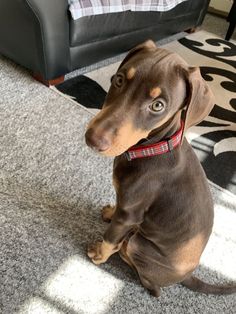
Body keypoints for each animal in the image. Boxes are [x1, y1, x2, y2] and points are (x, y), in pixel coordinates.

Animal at [85, 40, 236, 296]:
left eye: (157, 105)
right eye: (119, 80)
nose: (92, 139)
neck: (152, 149)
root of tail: (187, 276)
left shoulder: (130, 212)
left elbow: (111, 236)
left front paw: (99, 254)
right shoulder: (126, 204)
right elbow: (116, 212)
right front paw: (109, 212)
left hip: (141, 247)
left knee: (151, 284)